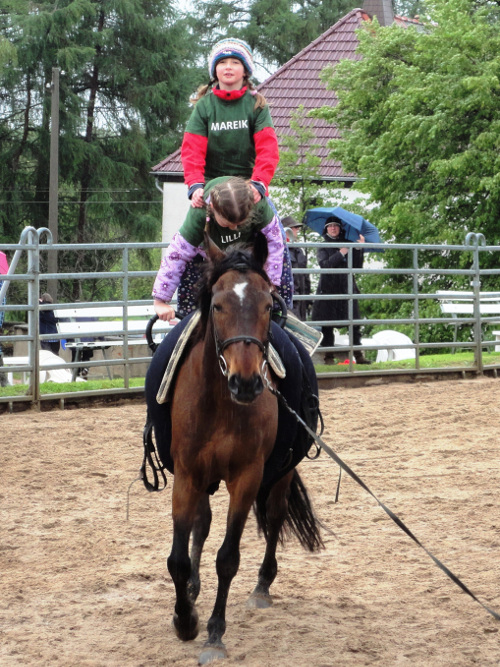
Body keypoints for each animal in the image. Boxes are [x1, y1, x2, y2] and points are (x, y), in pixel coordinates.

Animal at [146, 232, 323, 664]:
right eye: (219, 305)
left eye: (267, 306)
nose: (246, 382)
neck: (221, 404)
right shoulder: (188, 474)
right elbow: (178, 556)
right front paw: (184, 619)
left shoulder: (246, 477)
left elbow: (228, 558)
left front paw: (213, 634)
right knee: (202, 523)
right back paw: (194, 589)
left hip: (281, 473)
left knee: (274, 516)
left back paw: (262, 588)